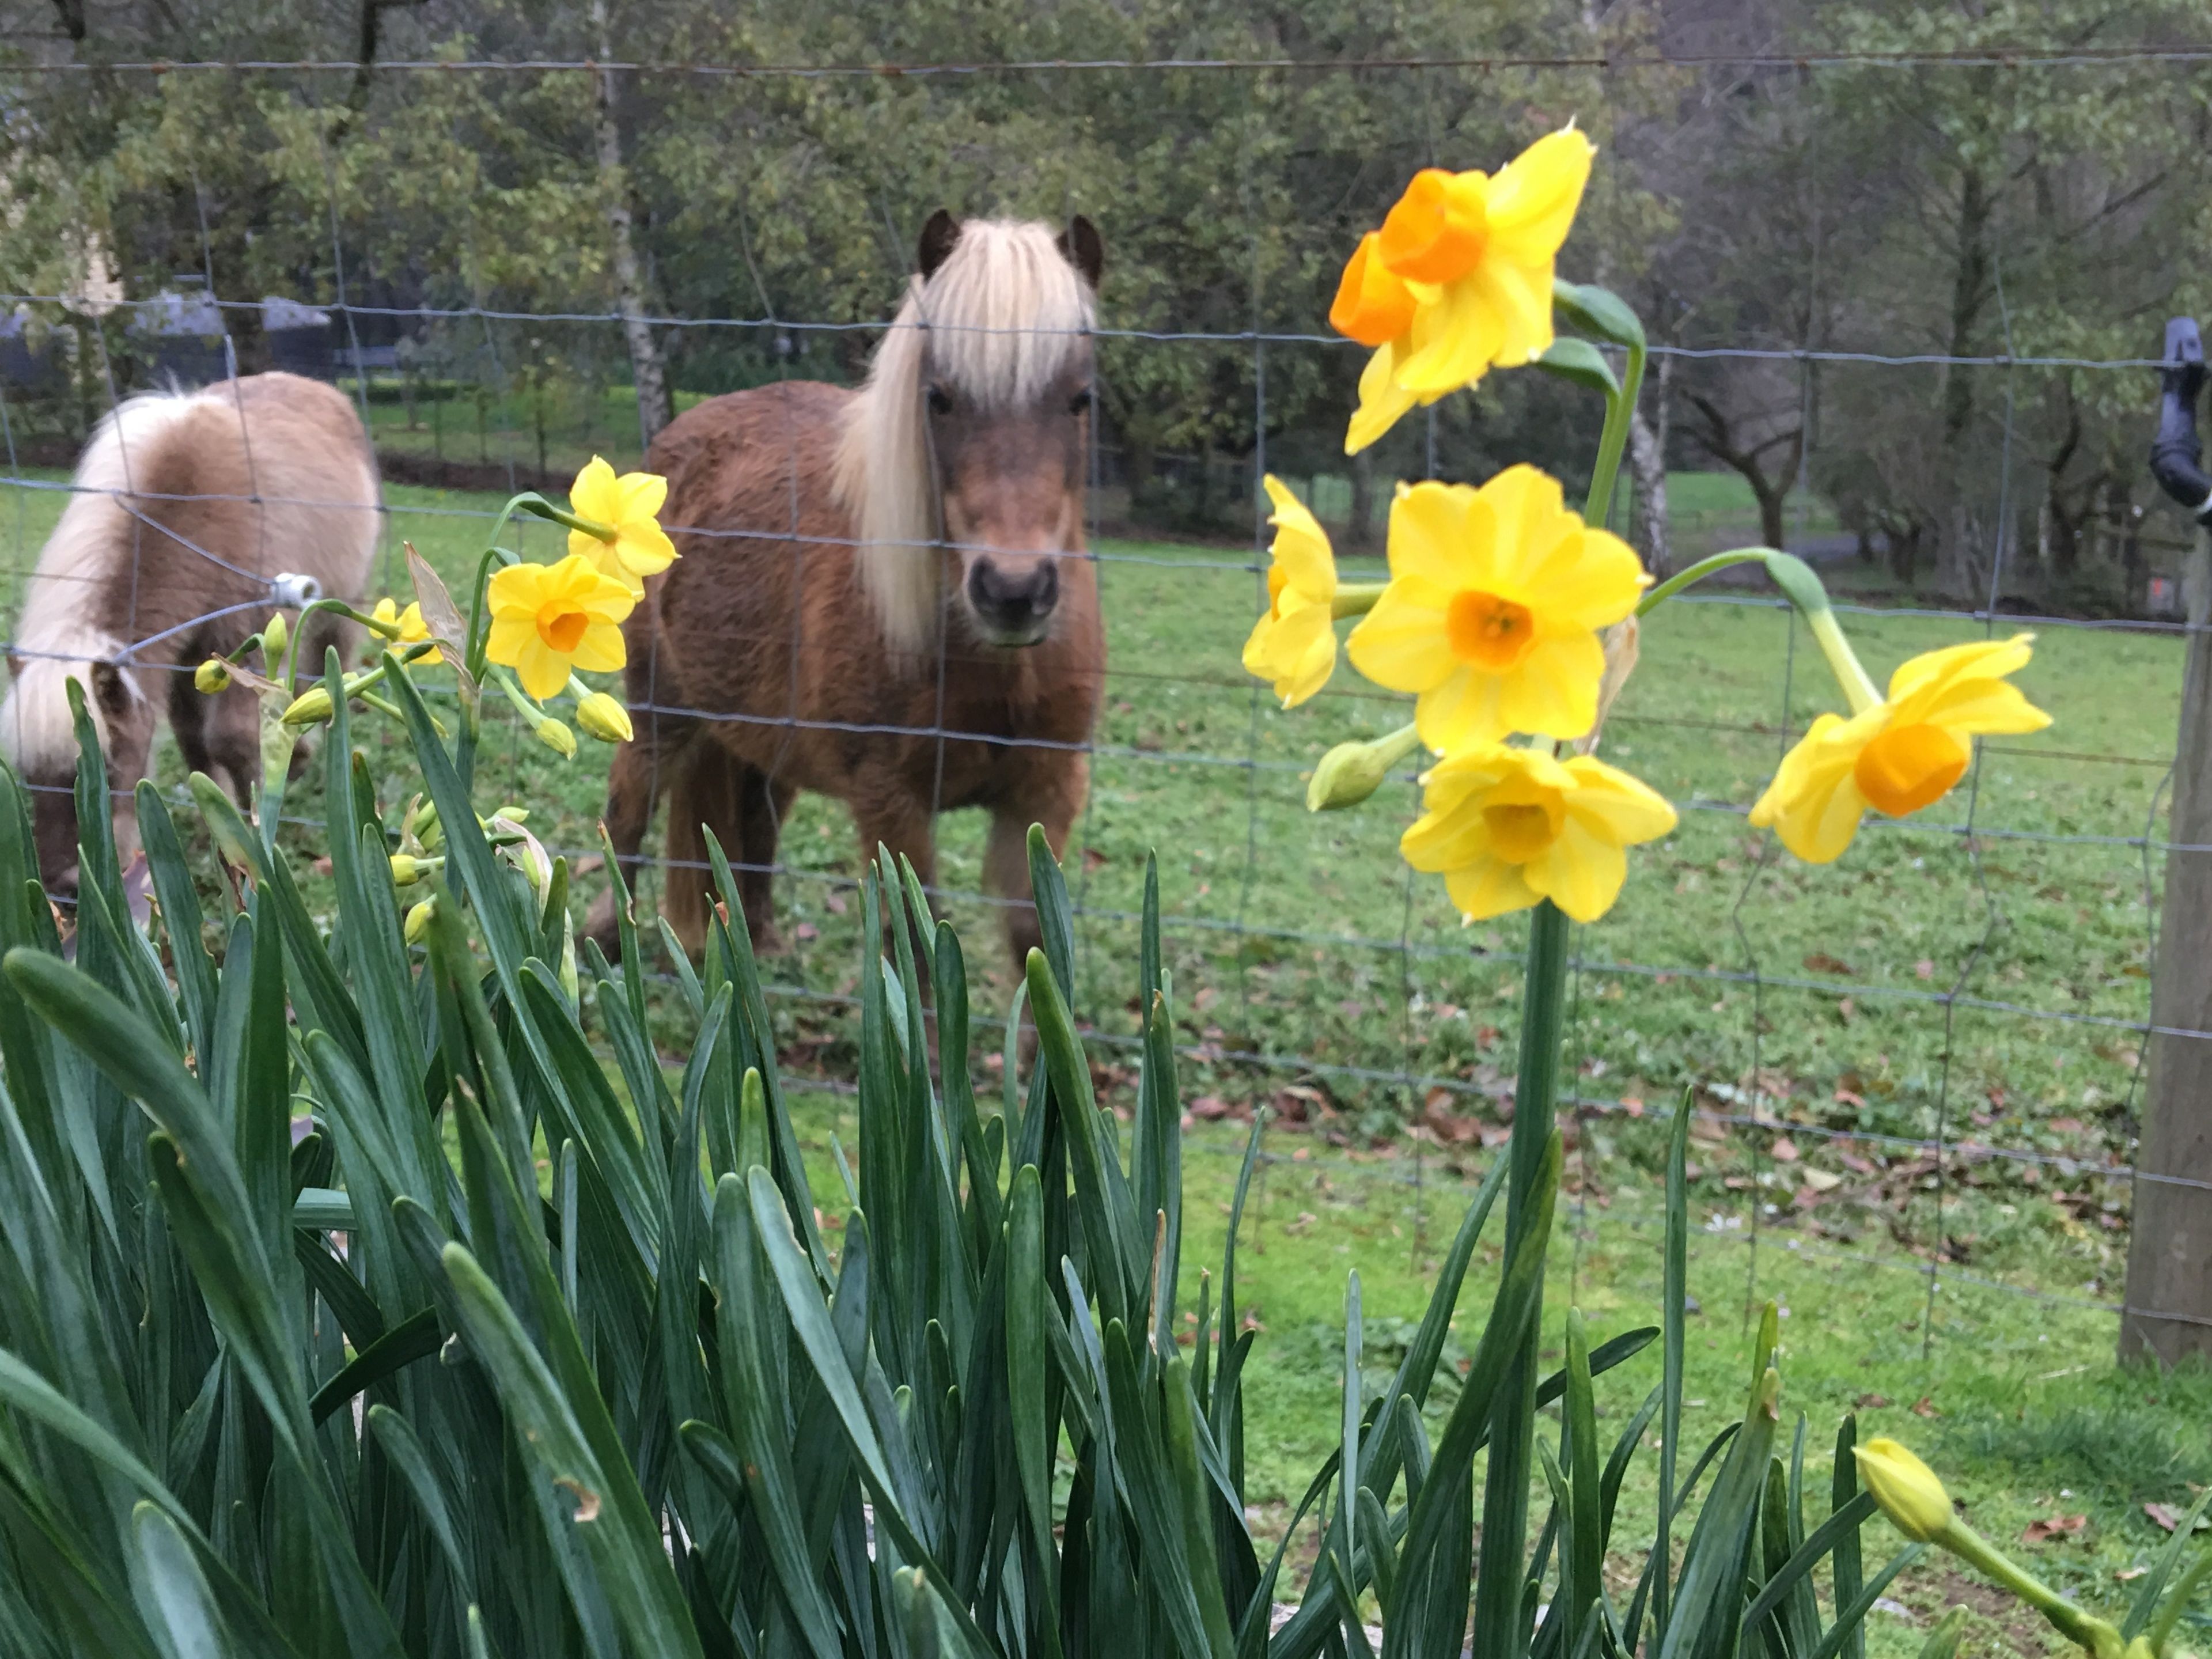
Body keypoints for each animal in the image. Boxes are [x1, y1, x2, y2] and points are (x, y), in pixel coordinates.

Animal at [0, 372, 380, 900]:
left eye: (106, 772)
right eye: (29, 776)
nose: (65, 889)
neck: (192, 500)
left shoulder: (250, 632)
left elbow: (232, 738)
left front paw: (260, 820)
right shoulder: (184, 660)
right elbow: (195, 743)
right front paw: (221, 826)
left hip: (338, 615)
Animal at [586, 211, 1106, 970]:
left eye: (1080, 399)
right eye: (938, 398)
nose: (1013, 591)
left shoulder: (1044, 795)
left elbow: (1039, 951)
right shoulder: (890, 803)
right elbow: (915, 953)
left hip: (761, 744)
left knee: (754, 830)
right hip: (660, 714)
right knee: (627, 812)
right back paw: (605, 944)